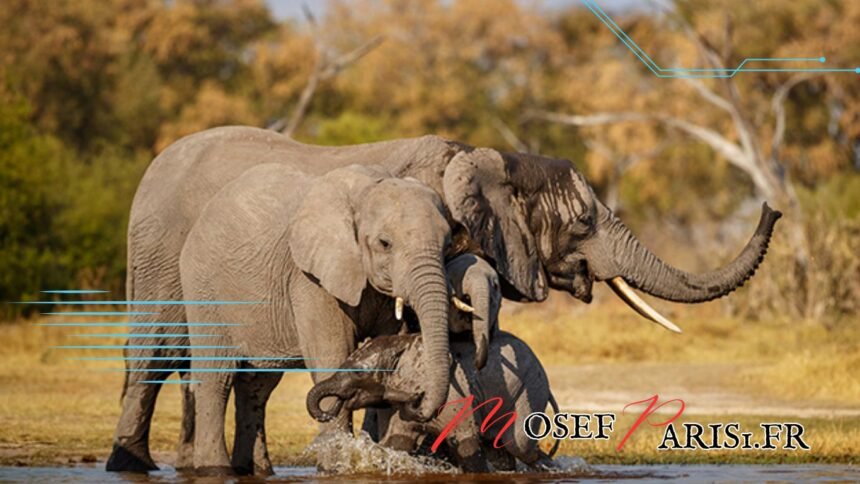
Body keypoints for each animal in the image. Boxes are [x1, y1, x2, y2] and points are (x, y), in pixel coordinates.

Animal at [174, 163, 456, 472]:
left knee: (257, 385)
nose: (418, 401)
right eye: (385, 243)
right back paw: (214, 469)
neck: (365, 190)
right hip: (203, 288)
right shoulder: (309, 279)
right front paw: (337, 467)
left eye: (448, 245)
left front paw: (385, 461)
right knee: (216, 377)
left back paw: (256, 470)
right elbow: (332, 354)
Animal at [306, 330, 560, 470]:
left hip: (530, 388)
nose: (334, 405)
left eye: (358, 373)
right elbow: (398, 442)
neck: (403, 344)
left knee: (519, 445)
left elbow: (466, 442)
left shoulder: (456, 396)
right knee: (501, 450)